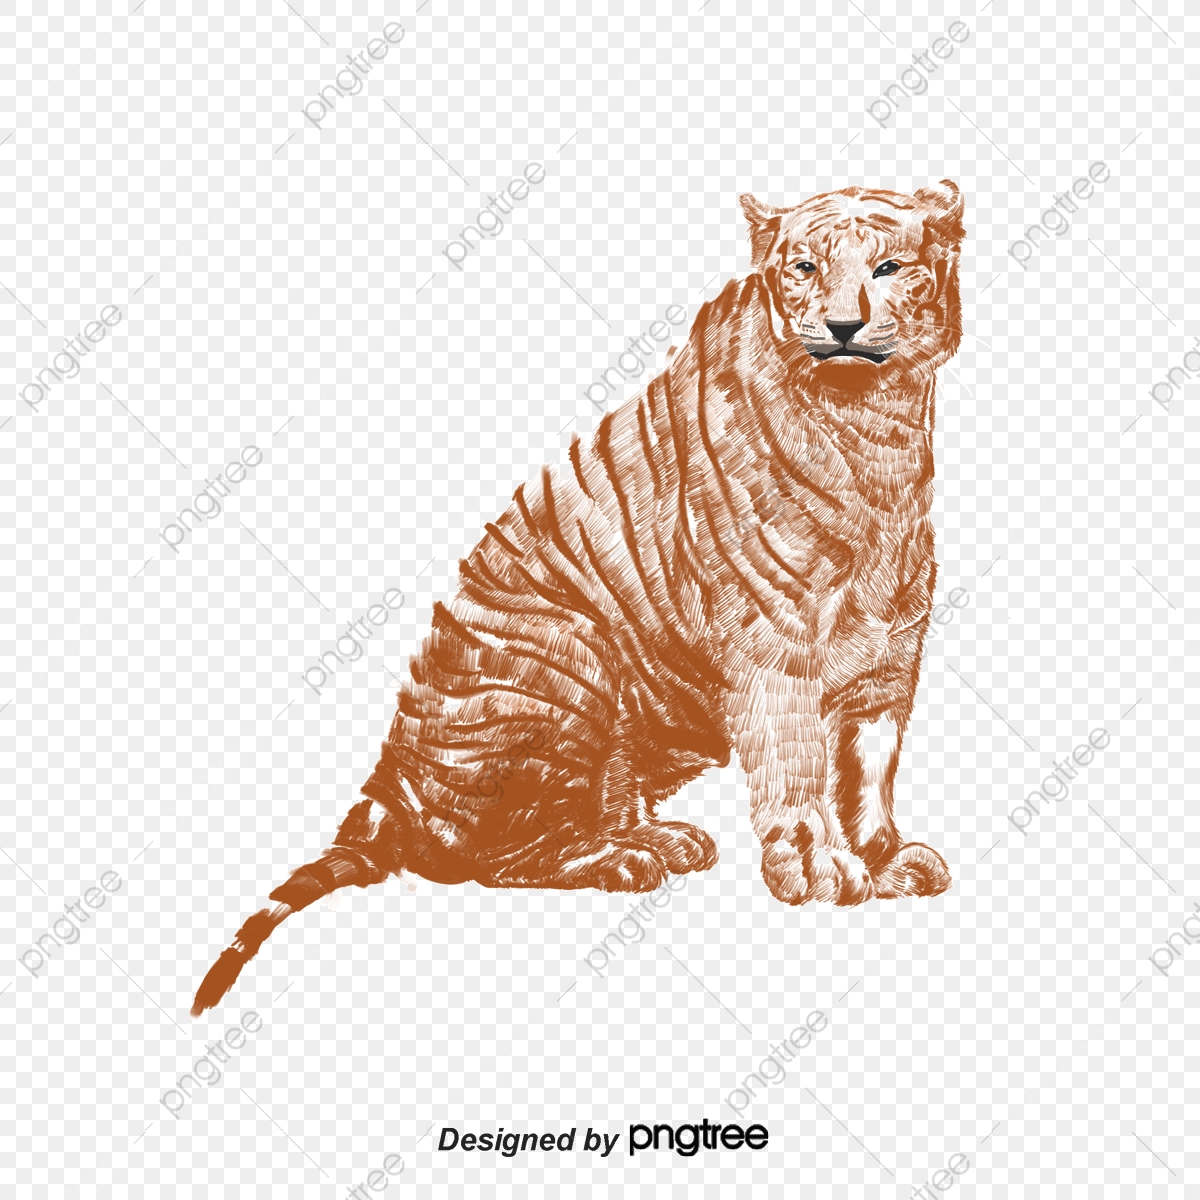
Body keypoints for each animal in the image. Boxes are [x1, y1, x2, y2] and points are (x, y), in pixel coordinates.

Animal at [192, 179, 965, 1016]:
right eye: (805, 267)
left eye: (888, 267)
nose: (844, 324)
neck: (877, 431)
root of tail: (391, 784)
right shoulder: (775, 645)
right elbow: (797, 766)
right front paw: (822, 870)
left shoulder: (889, 652)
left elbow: (868, 769)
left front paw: (885, 859)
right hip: (570, 660)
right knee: (487, 859)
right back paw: (618, 861)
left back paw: (653, 838)